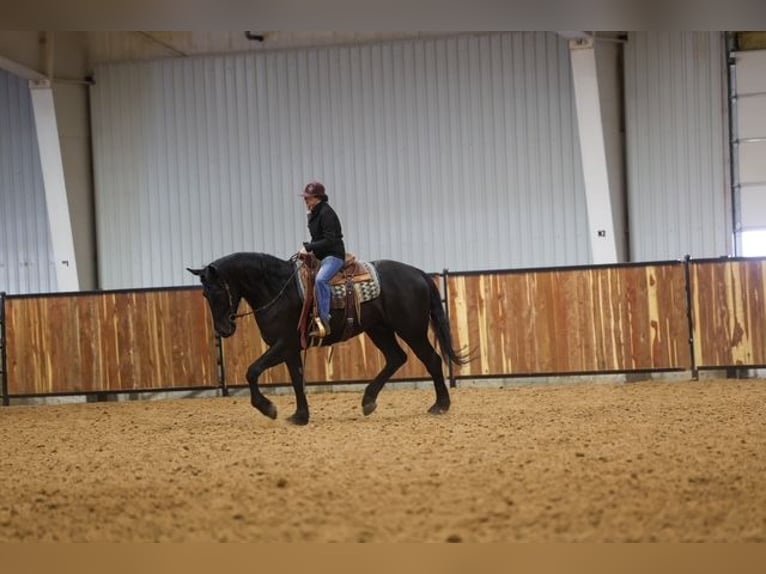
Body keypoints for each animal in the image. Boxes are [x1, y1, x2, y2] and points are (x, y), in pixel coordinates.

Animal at [187, 252, 470, 425]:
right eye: (204, 294)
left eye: (218, 291)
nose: (223, 330)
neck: (278, 289)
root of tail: (419, 273)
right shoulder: (290, 349)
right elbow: (296, 379)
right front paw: (300, 416)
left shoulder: (284, 344)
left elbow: (252, 371)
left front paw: (268, 408)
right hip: (379, 329)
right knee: (396, 358)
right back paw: (368, 401)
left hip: (412, 330)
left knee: (431, 359)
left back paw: (440, 405)